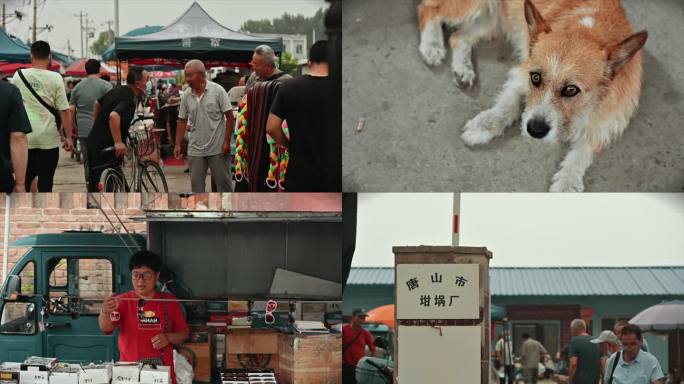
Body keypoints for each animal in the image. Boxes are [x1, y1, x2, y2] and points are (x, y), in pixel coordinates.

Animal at [416, 0, 648, 192]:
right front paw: (485, 125)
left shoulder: (609, 118)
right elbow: (507, 106)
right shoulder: (520, 74)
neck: (587, 30)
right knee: (429, 10)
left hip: (493, 20)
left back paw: (462, 69)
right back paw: (432, 47)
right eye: (535, 78)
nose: (535, 130)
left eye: (571, 90)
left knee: (458, 37)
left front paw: (568, 182)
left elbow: (583, 153)